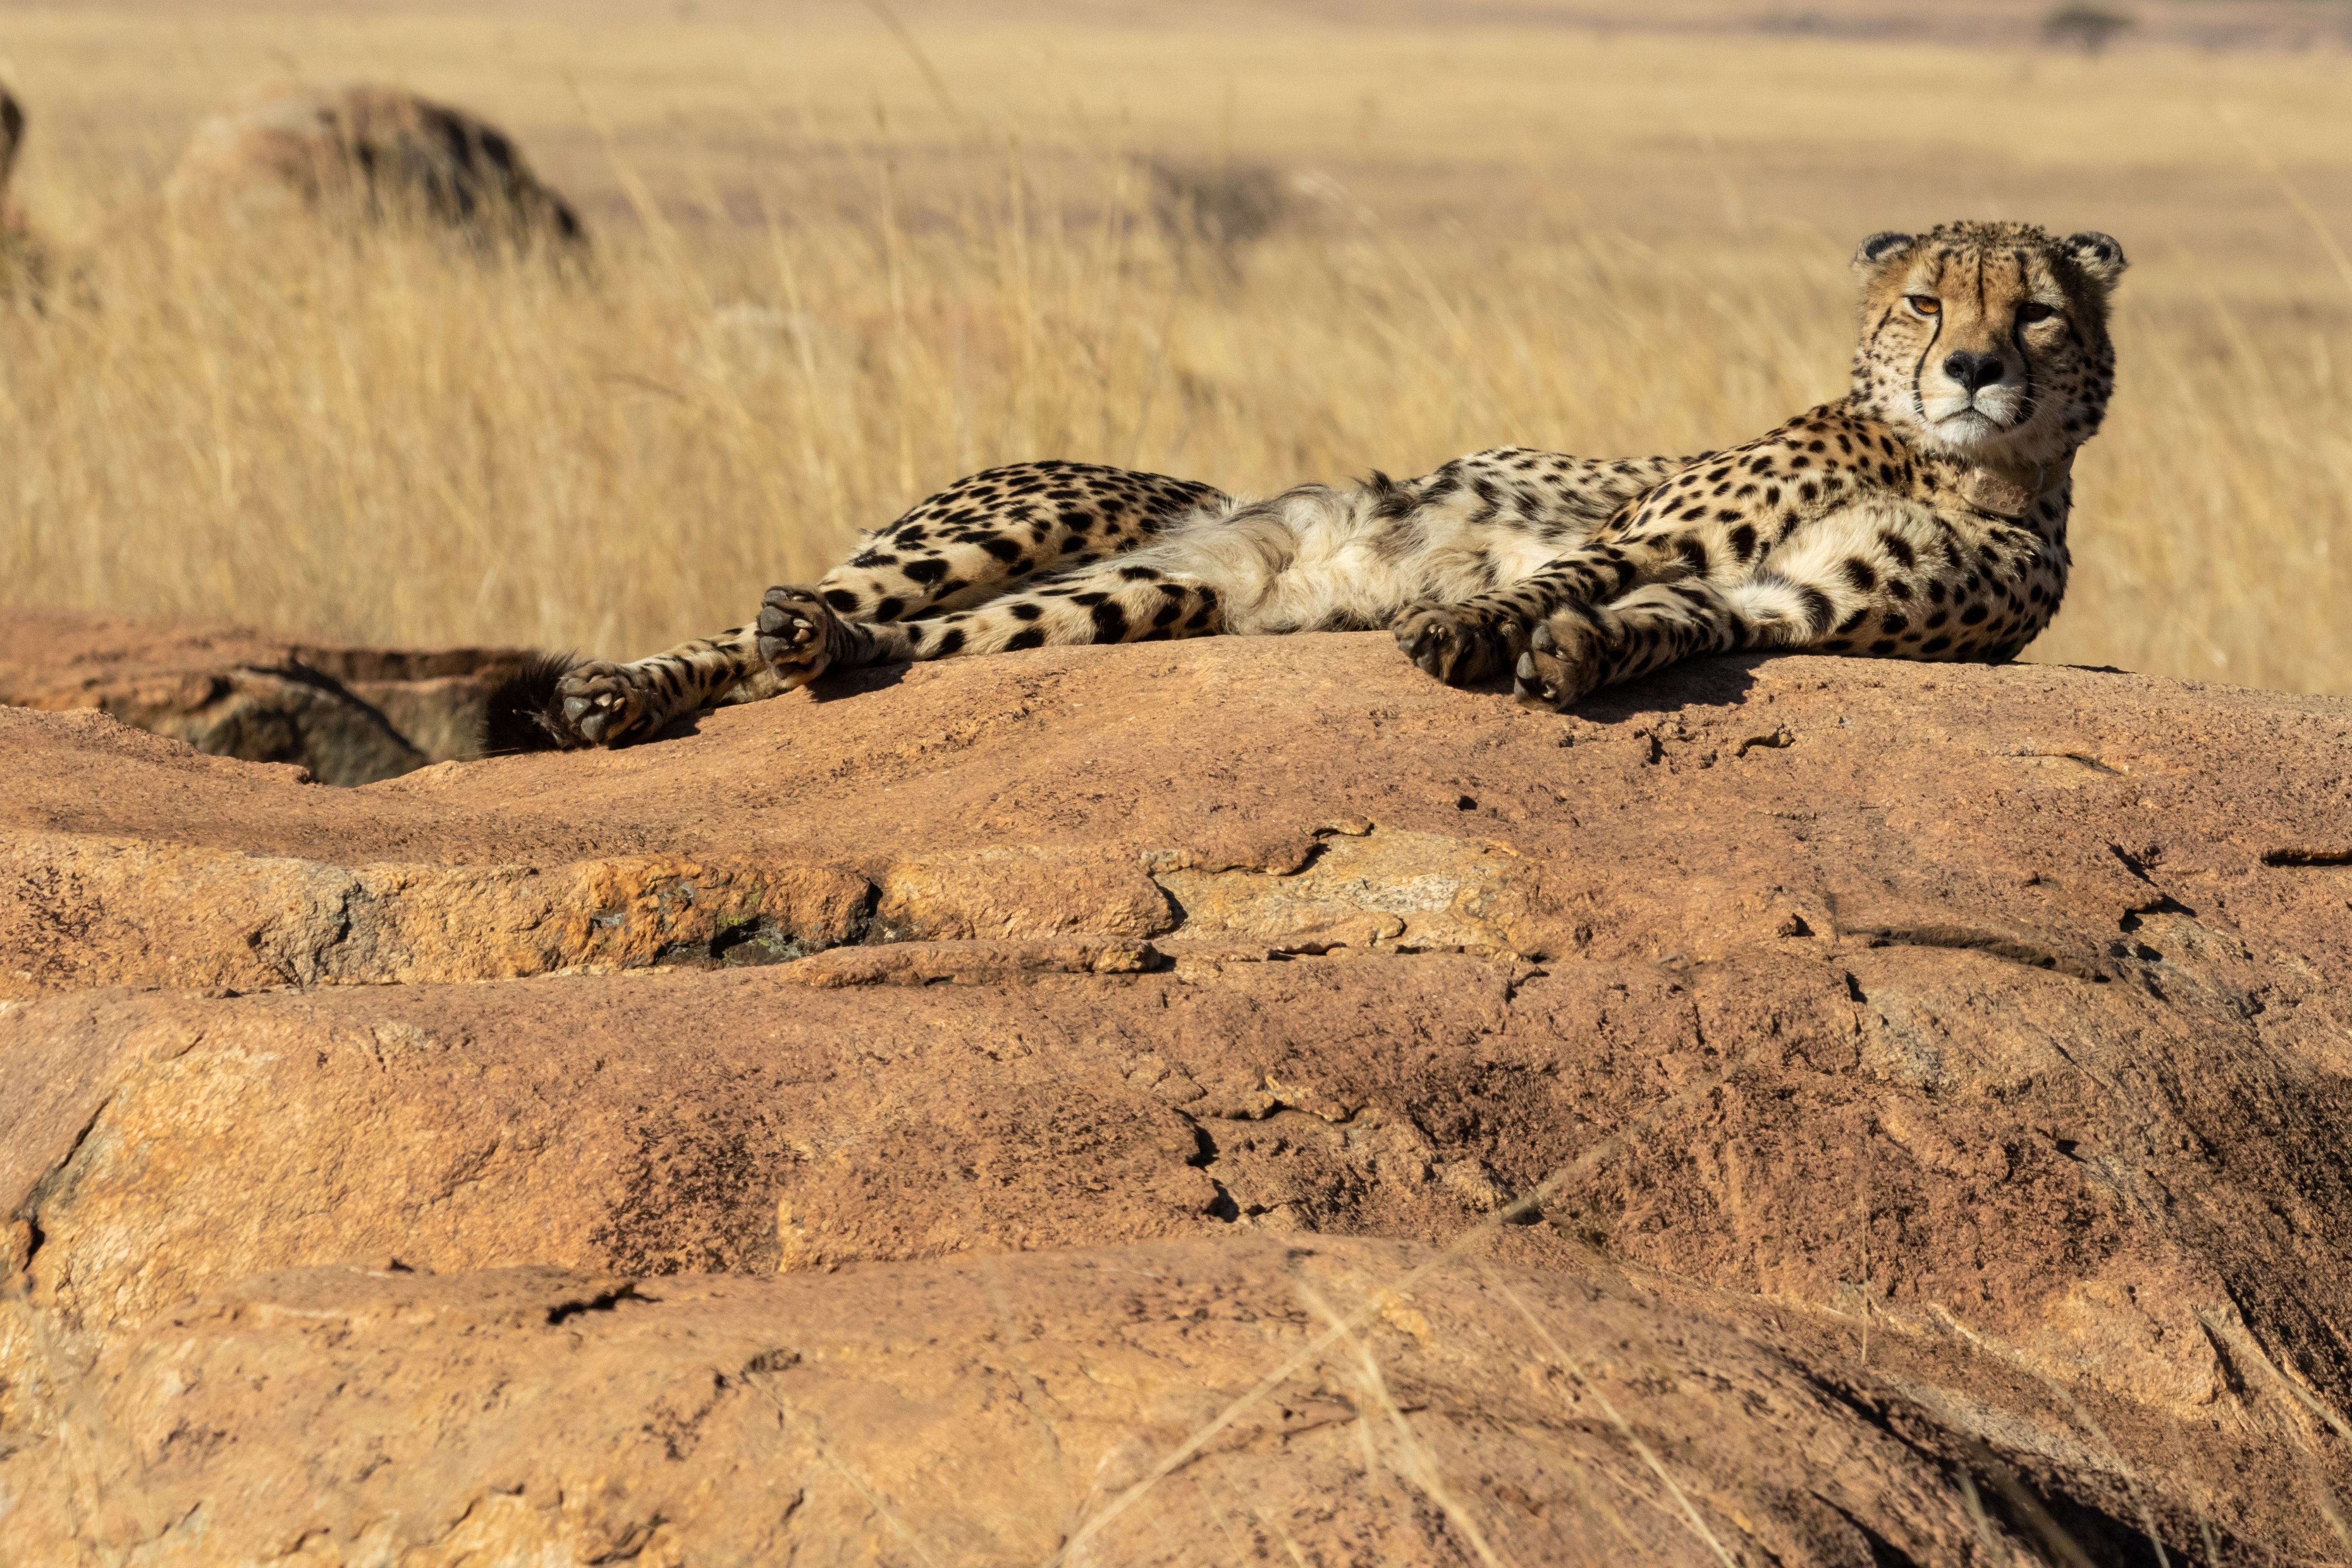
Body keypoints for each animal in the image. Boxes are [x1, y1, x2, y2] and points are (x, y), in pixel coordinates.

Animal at [491, 222, 2135, 752]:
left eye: (2038, 312)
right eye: (1926, 302)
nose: (1973, 368)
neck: (1959, 470)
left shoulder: (1783, 602)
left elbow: (1667, 627)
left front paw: (1576, 662)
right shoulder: (1648, 527)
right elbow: (1568, 569)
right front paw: (1473, 632)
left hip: (1121, 599)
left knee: (889, 643)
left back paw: (809, 655)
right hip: (1029, 518)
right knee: (768, 616)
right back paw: (620, 690)